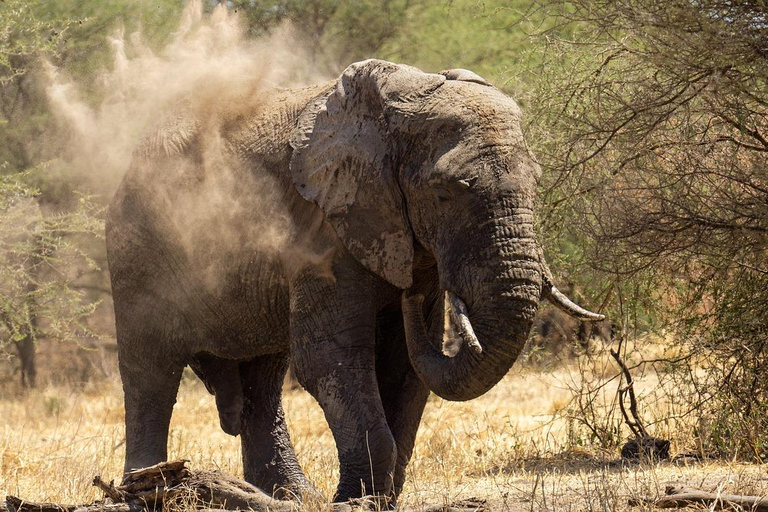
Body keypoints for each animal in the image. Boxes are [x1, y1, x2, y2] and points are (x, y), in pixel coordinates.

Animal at [105, 59, 604, 504]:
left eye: (537, 183)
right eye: (444, 192)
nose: (409, 294)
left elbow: (404, 366)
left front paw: (376, 498)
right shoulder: (324, 226)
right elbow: (330, 357)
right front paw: (356, 501)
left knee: (263, 379)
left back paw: (291, 497)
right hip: (137, 250)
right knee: (151, 372)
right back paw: (143, 491)